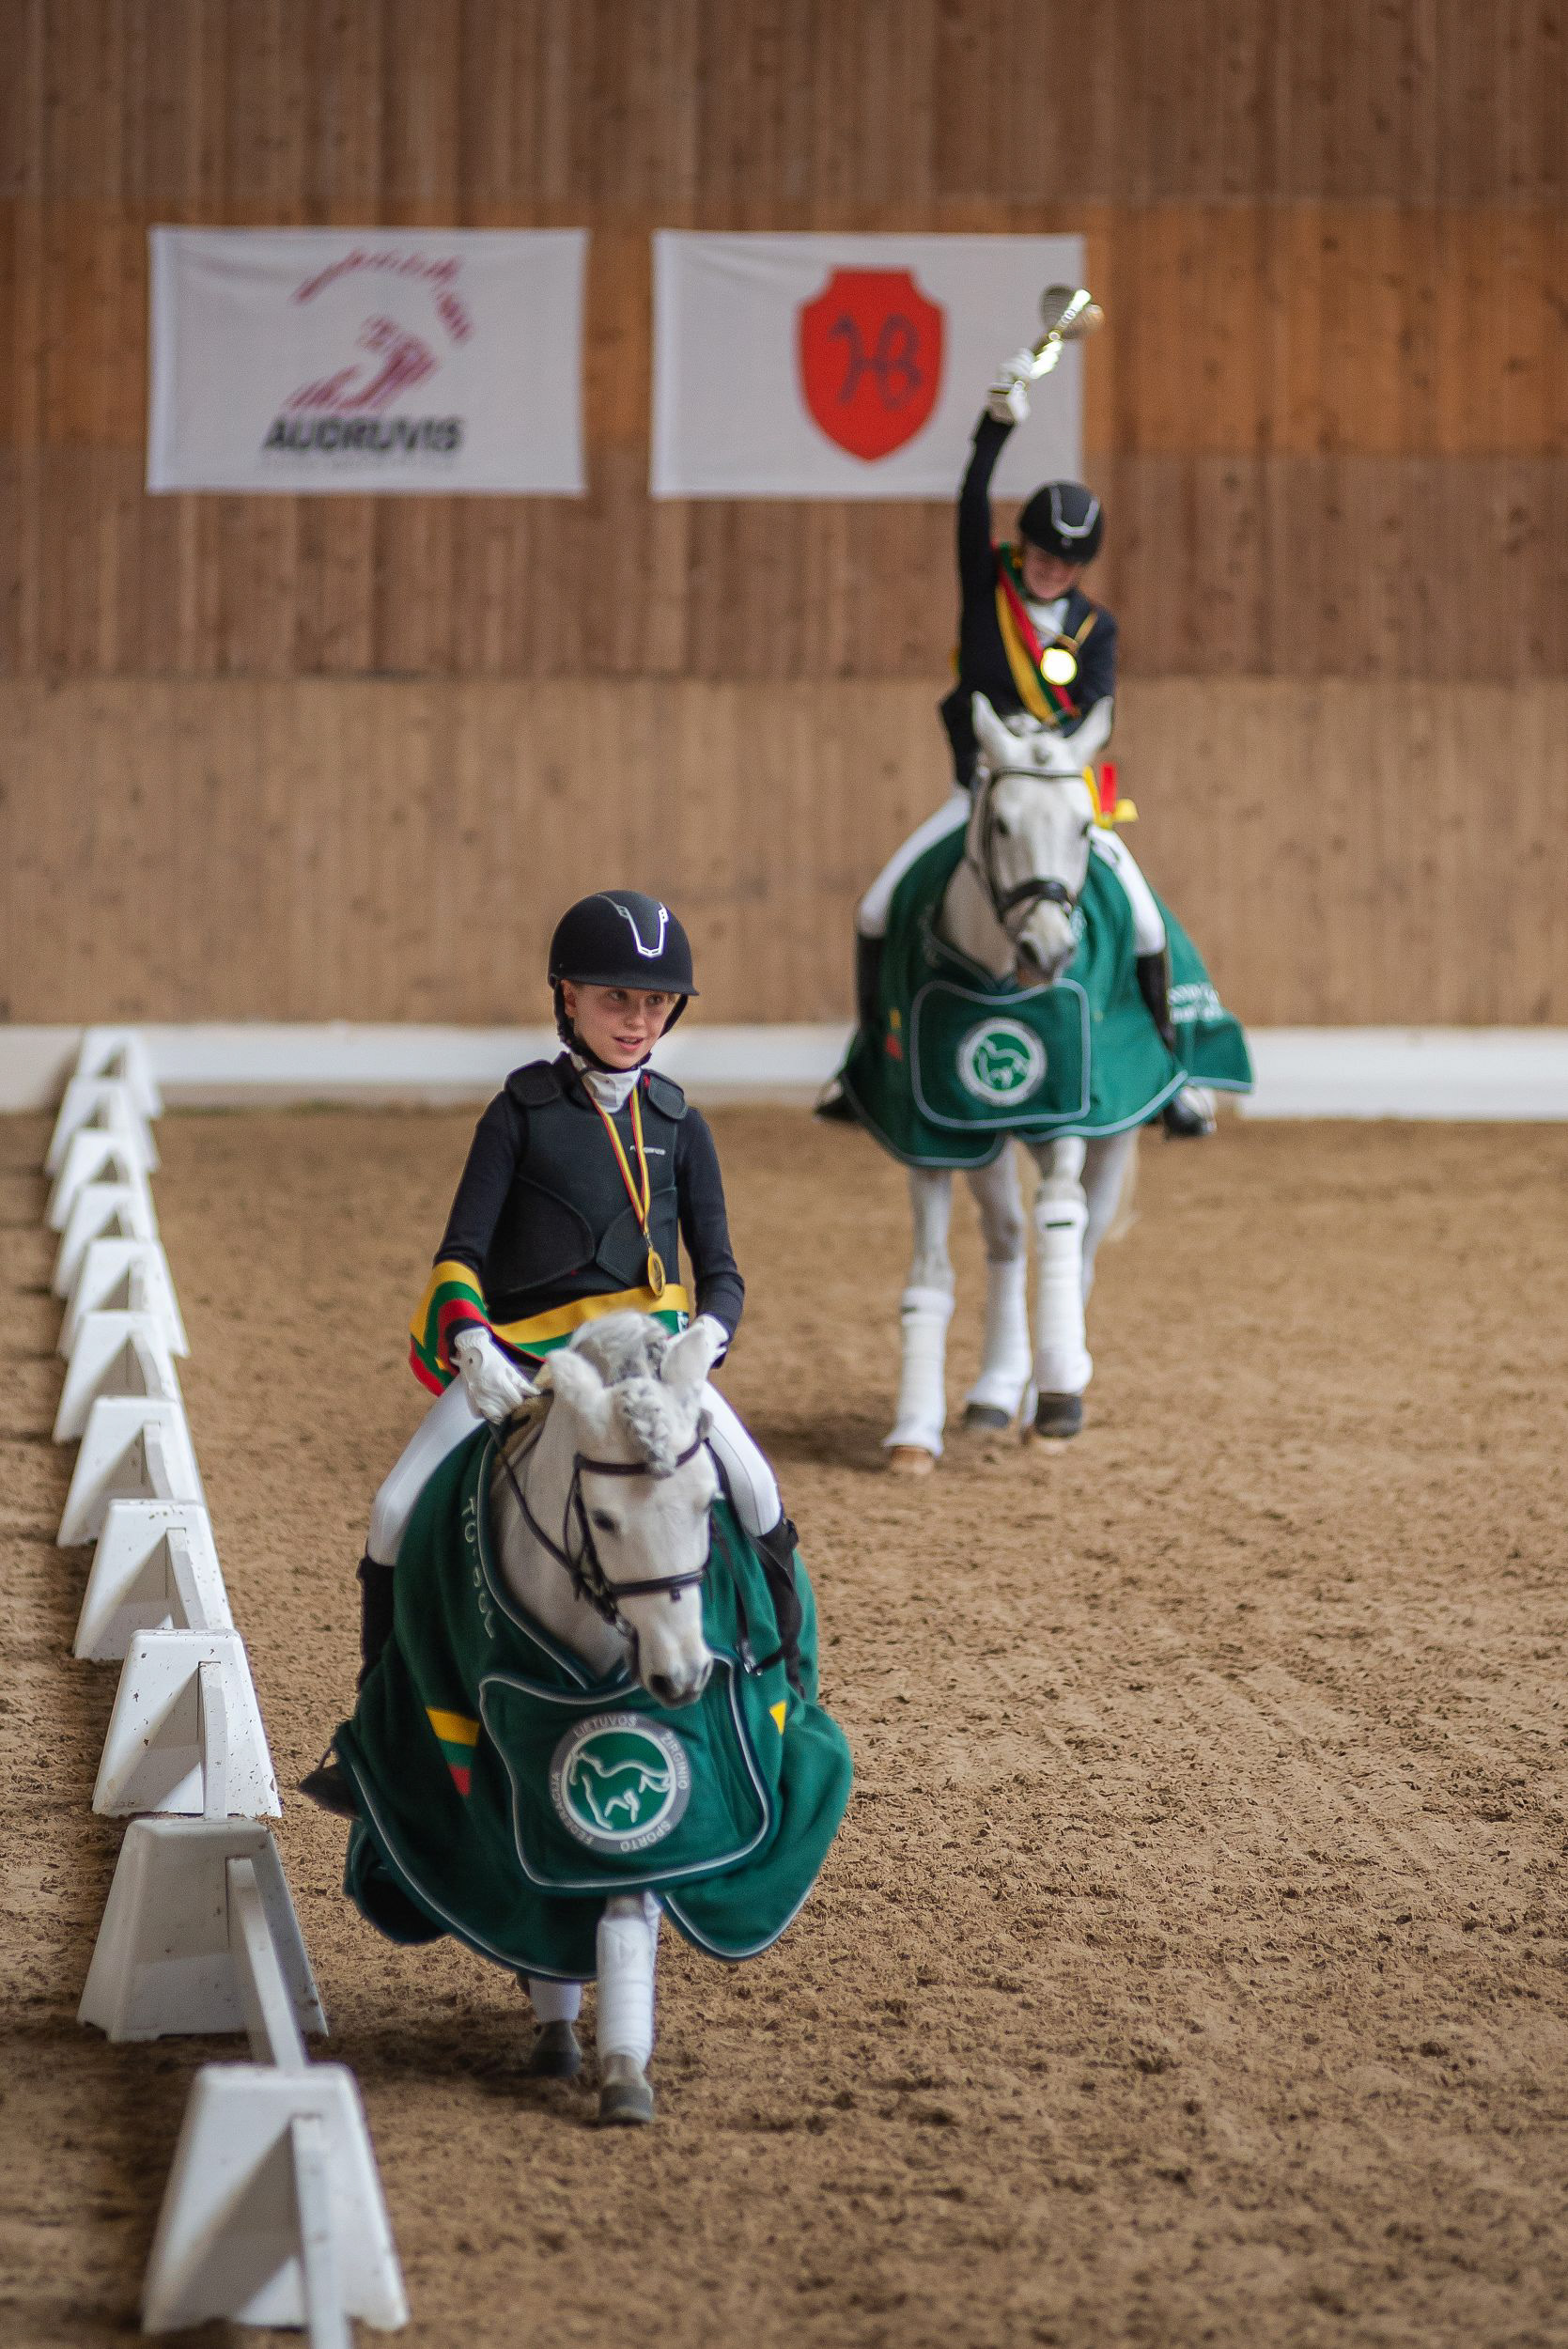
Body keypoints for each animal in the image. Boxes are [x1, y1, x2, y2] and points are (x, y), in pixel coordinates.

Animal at [885, 693, 1140, 1471]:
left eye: (1084, 826)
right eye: (1000, 824)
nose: (1048, 951)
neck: (1001, 980)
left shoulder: (1070, 1113)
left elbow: (1059, 1214)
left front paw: (1058, 1395)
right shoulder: (929, 1134)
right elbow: (930, 1275)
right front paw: (913, 1432)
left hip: (1113, 1139)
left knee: (1077, 1249)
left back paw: (1051, 1386)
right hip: (984, 1147)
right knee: (1003, 1240)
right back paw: (996, 1392)